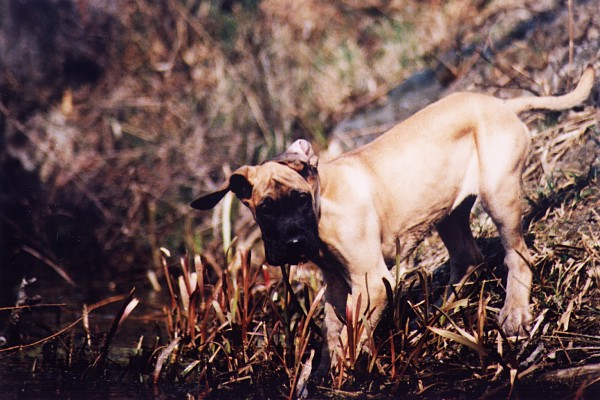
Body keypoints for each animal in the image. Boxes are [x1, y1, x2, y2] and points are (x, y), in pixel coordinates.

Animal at [192, 66, 596, 376]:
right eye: (265, 210)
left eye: (301, 201)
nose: (292, 244)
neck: (324, 205)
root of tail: (501, 103)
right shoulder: (338, 286)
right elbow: (335, 331)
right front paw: (326, 373)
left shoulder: (371, 280)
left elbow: (352, 335)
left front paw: (348, 373)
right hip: (447, 211)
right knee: (468, 257)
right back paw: (434, 320)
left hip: (499, 195)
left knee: (517, 253)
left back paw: (514, 313)